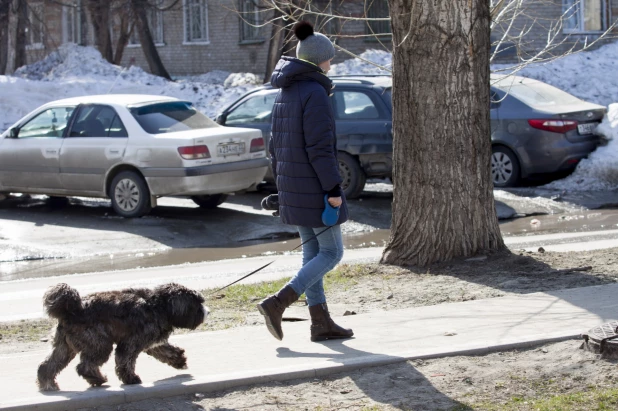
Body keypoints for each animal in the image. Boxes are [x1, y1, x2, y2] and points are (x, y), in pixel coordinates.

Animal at [36, 284, 209, 392]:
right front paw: (130, 378)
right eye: (197, 304)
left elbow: (166, 351)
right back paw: (97, 379)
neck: (159, 305)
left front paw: (179, 361)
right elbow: (125, 361)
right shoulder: (131, 343)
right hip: (100, 344)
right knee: (84, 366)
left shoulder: (152, 342)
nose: (207, 312)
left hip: (64, 347)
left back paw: (48, 384)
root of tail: (72, 309)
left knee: (47, 366)